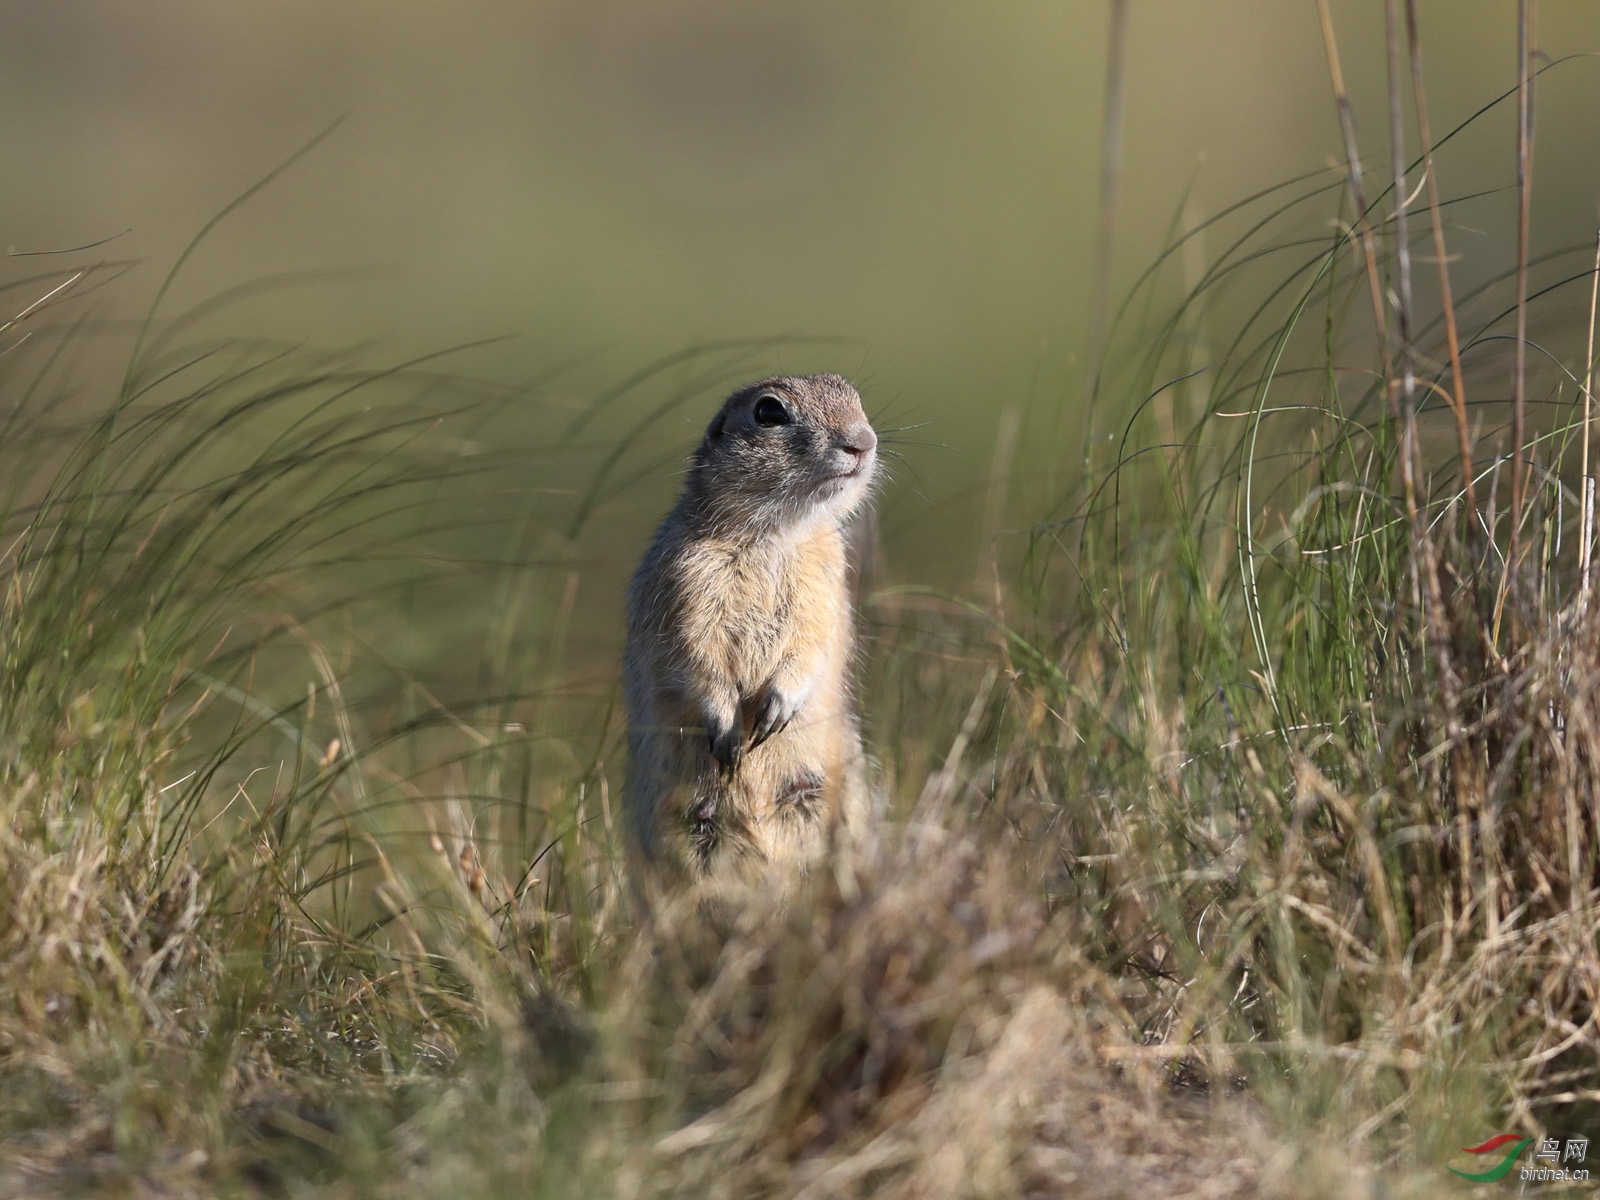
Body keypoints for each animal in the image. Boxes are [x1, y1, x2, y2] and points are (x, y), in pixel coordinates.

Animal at [620, 376, 876, 883]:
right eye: (769, 412)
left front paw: (777, 708)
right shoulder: (684, 582)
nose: (863, 441)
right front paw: (728, 732)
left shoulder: (825, 583)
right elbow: (694, 653)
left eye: (854, 397)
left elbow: (813, 642)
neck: (774, 535)